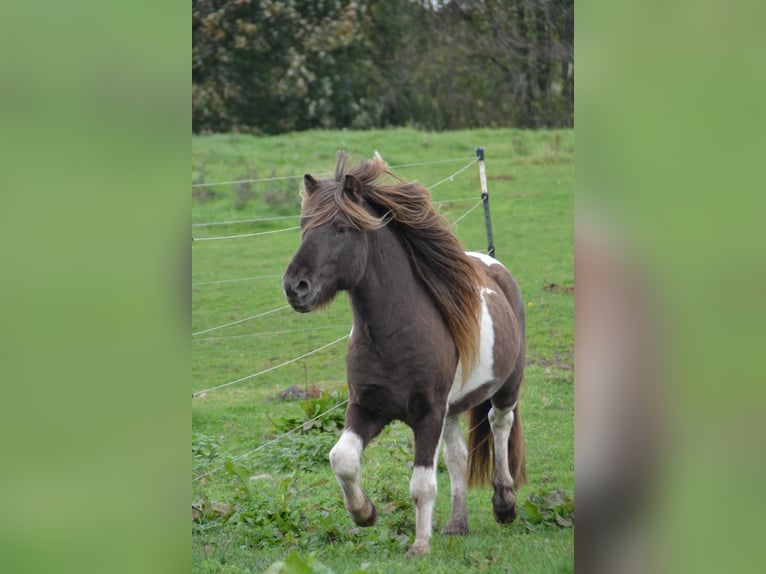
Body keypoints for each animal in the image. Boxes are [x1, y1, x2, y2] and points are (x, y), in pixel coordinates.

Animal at [282, 151, 526, 556]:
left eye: (341, 228)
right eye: (304, 224)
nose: (295, 287)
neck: (393, 335)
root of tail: (493, 266)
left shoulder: (427, 413)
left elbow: (422, 483)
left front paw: (420, 545)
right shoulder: (366, 407)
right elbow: (343, 459)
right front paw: (365, 513)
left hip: (507, 386)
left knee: (499, 425)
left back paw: (504, 504)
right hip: (452, 409)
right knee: (458, 456)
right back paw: (457, 524)